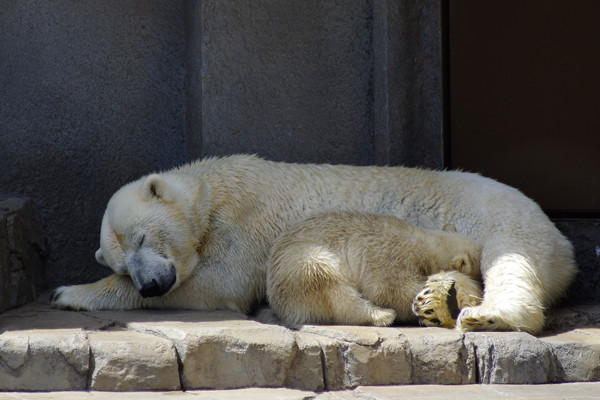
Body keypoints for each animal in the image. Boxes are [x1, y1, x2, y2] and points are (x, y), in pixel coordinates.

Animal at [51, 155, 576, 332]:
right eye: (122, 264)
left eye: (143, 237)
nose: (151, 286)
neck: (211, 190)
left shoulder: (247, 218)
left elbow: (219, 284)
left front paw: (68, 292)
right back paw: (438, 301)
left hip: (496, 217)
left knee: (512, 263)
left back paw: (491, 315)